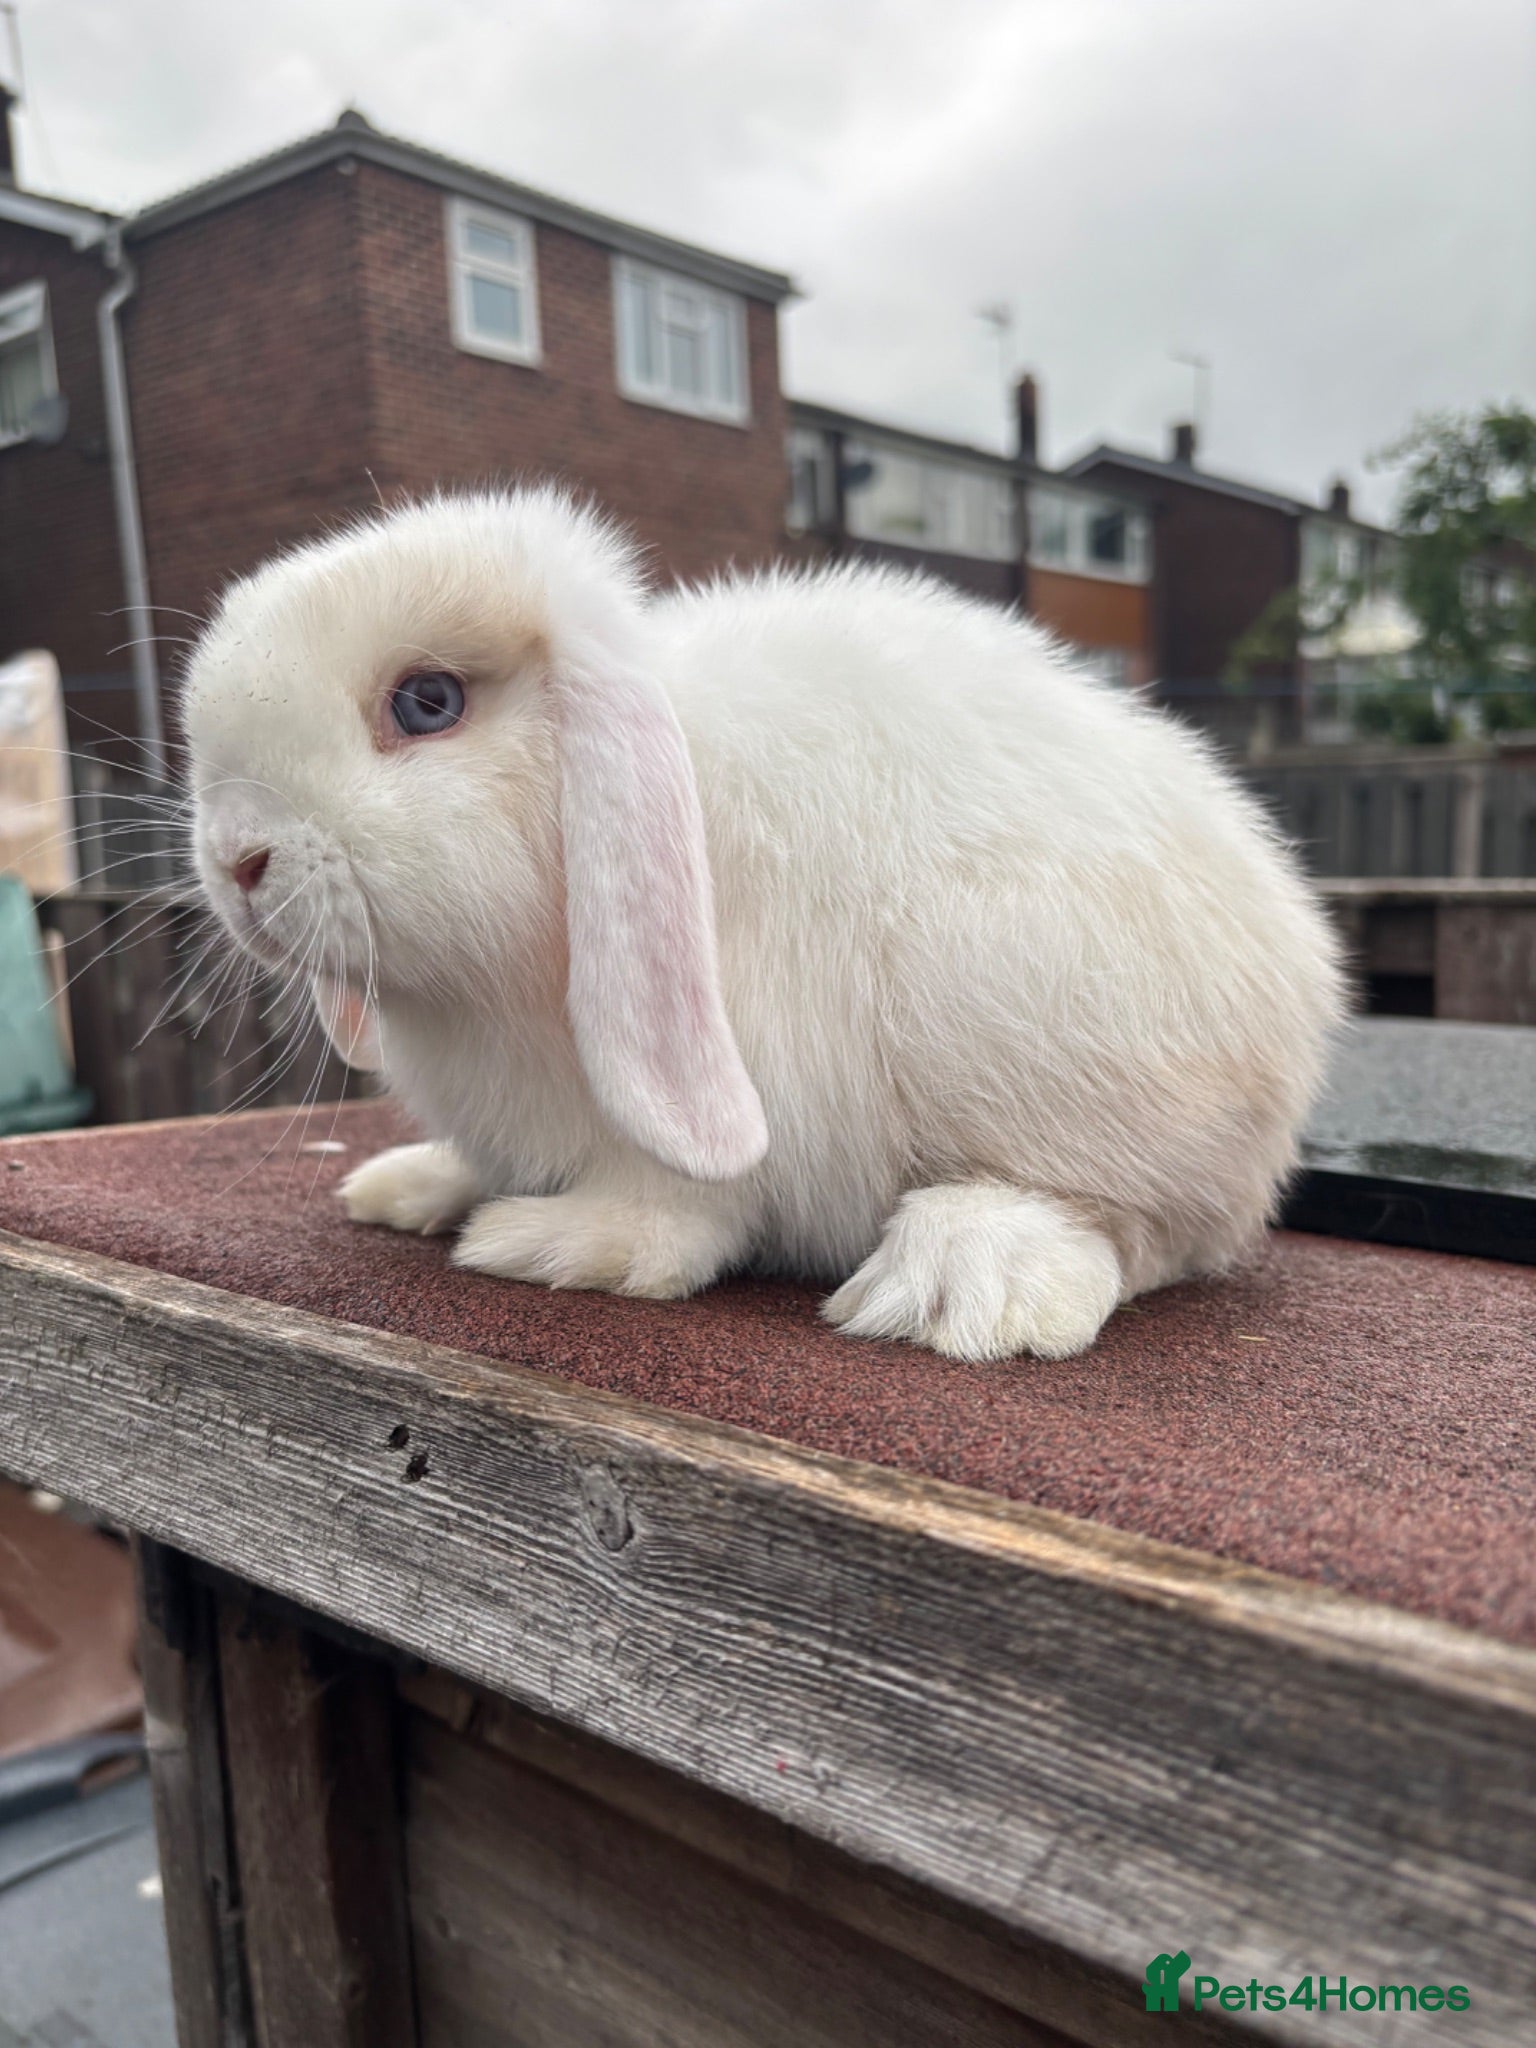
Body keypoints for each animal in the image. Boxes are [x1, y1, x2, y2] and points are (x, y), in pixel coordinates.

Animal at [183, 487, 1344, 1363]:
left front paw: (551, 1241)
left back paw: (958, 1285)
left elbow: (671, 1219)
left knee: (1131, 1228)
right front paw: (421, 1184)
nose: (238, 859)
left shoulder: (719, 1100)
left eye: (426, 702)